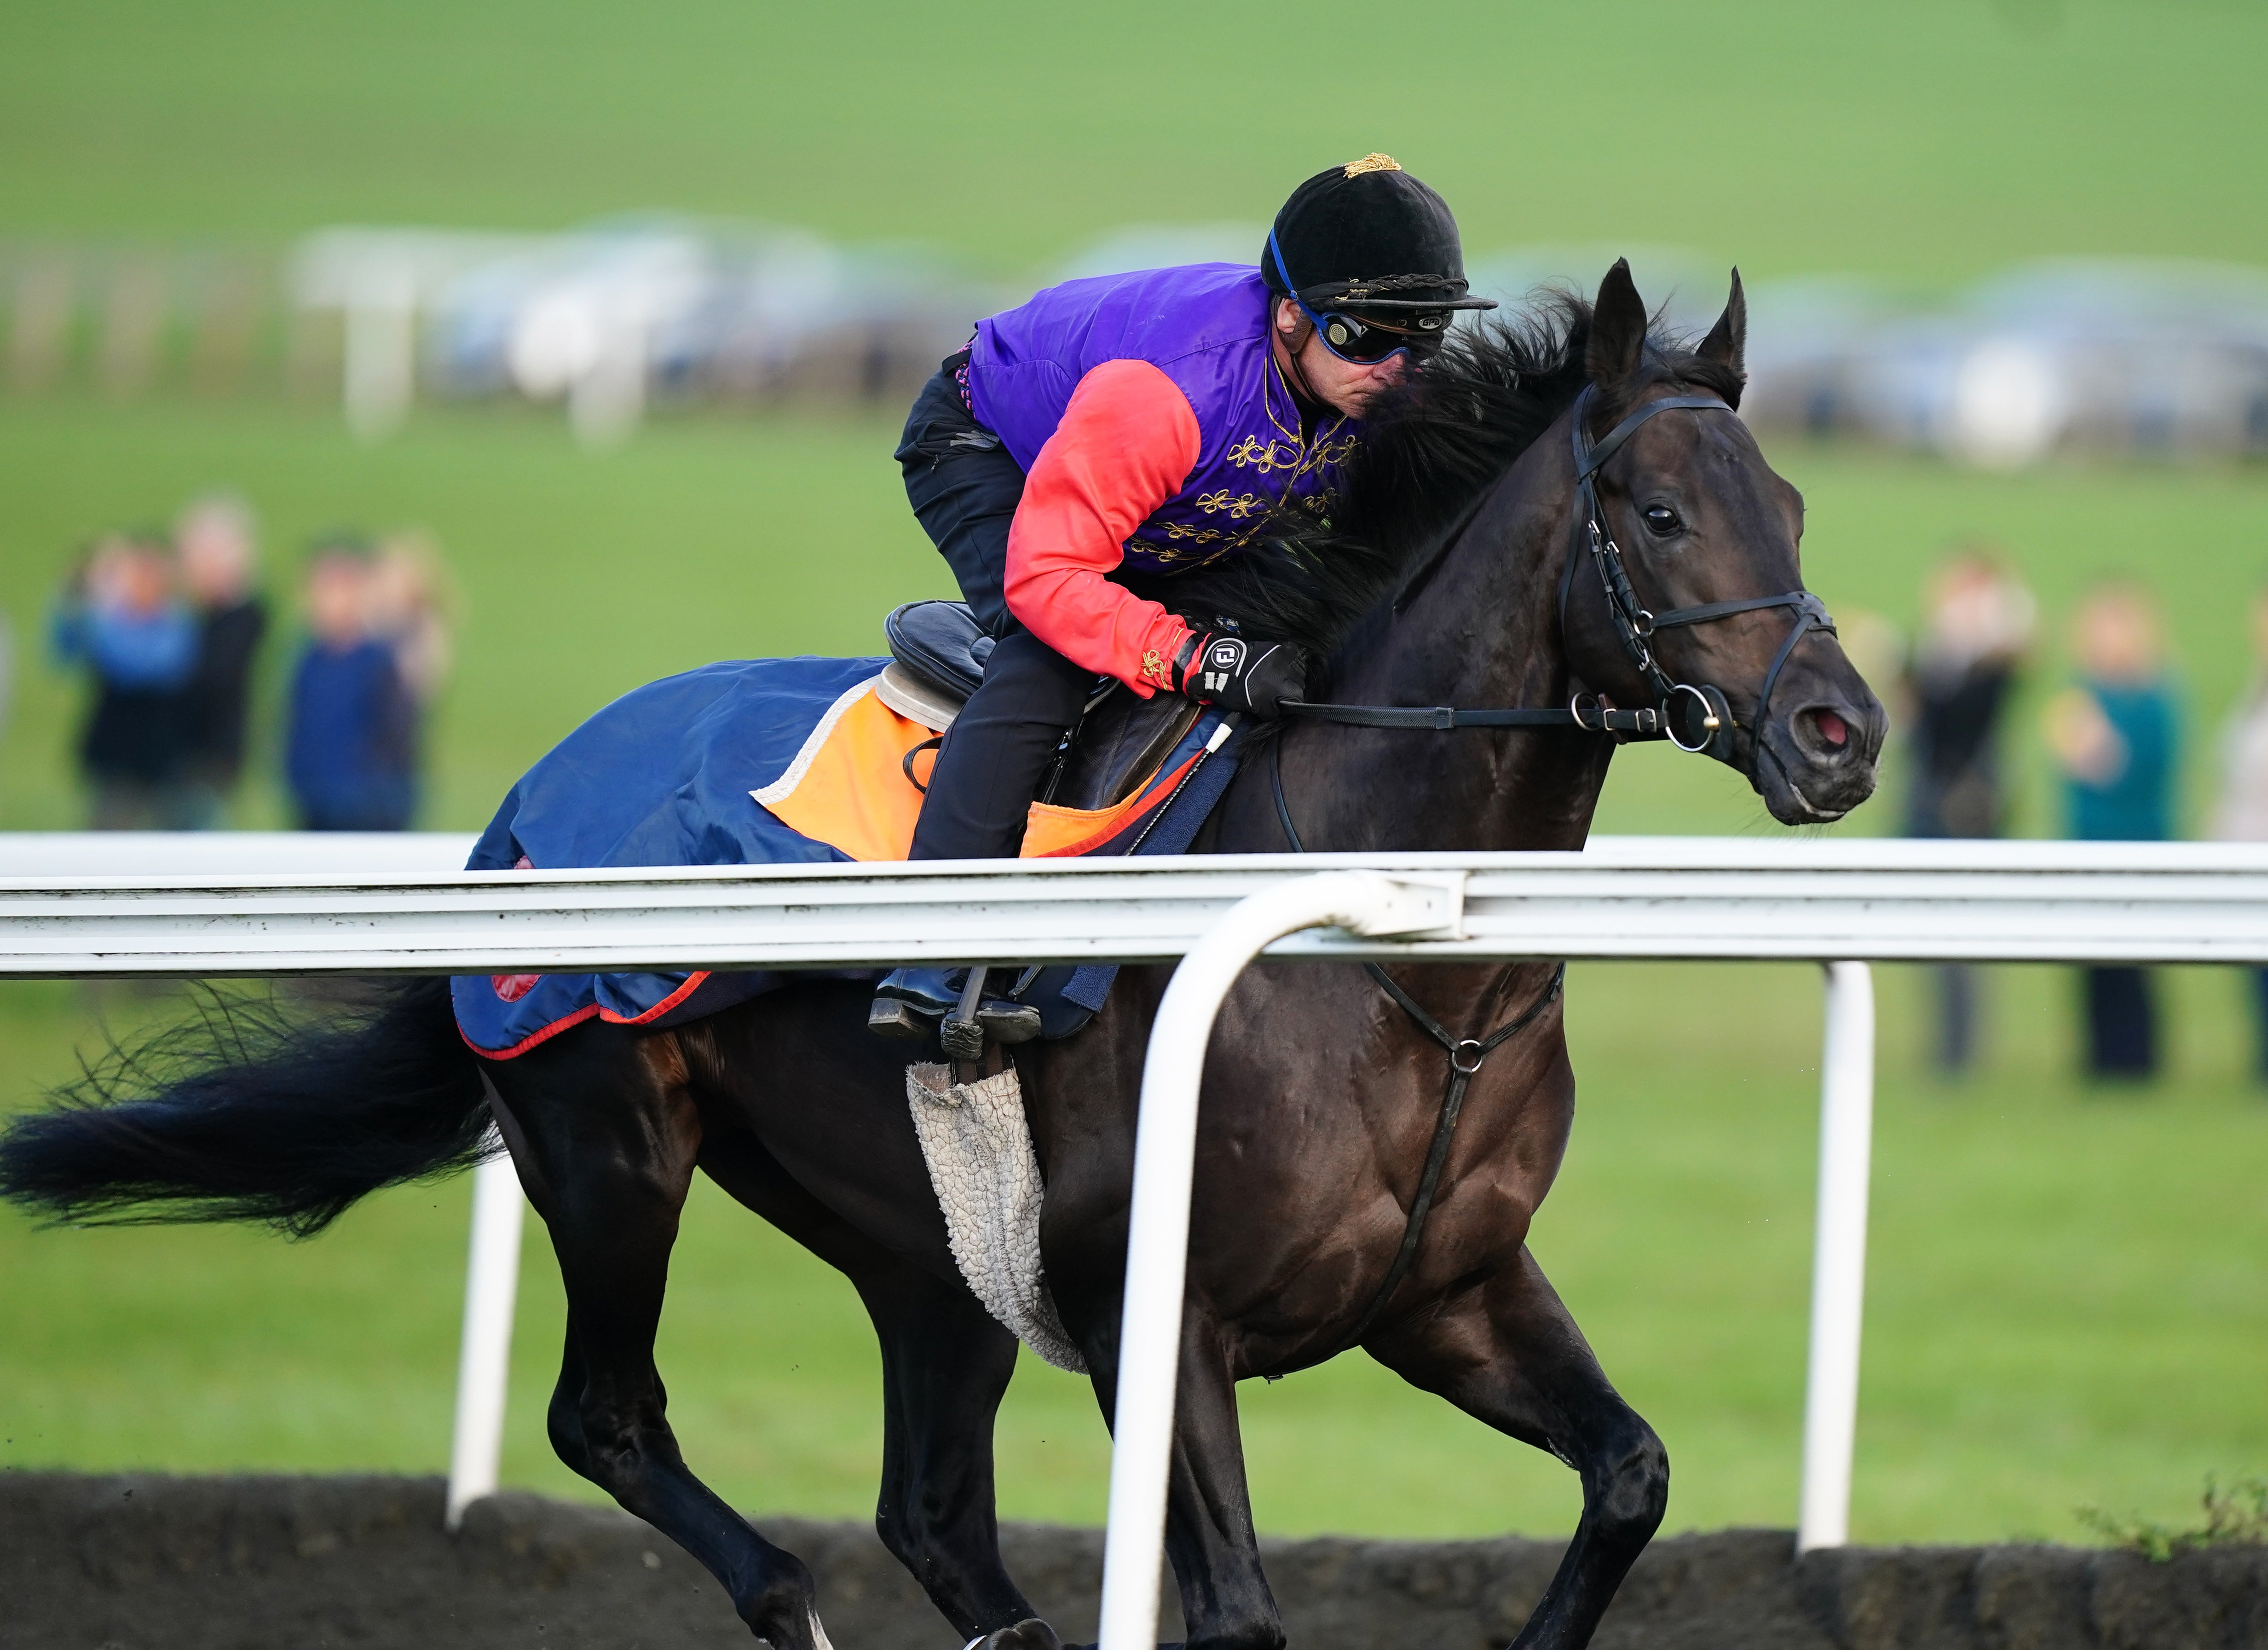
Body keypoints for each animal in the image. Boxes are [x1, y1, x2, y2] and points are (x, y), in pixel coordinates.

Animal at [4, 264, 1878, 1650]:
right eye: (1654, 508)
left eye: (1794, 502)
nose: (1840, 730)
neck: (1402, 945)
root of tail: (523, 808)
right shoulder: (1153, 1313)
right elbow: (1238, 1611)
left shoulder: (1448, 1290)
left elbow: (1630, 1473)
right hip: (610, 1141)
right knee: (610, 1420)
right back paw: (783, 1591)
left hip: (926, 1252)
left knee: (927, 1510)